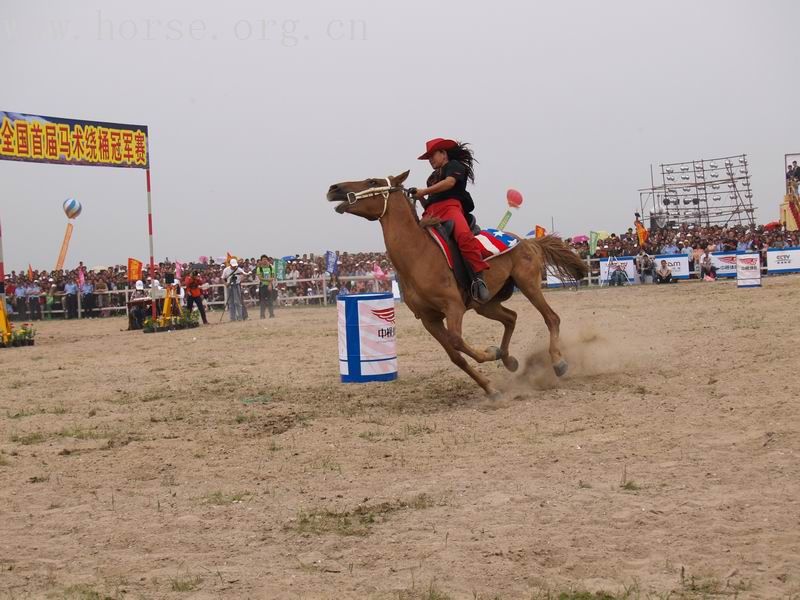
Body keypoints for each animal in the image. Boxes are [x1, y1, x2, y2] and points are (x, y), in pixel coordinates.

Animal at [326, 172, 588, 398]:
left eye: (372, 181)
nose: (334, 188)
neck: (418, 255)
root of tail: (527, 241)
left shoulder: (453, 307)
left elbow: (456, 341)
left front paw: (489, 353)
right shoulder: (429, 319)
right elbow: (456, 356)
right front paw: (490, 387)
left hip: (528, 284)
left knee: (551, 317)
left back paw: (558, 362)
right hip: (486, 303)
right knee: (511, 318)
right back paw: (509, 359)